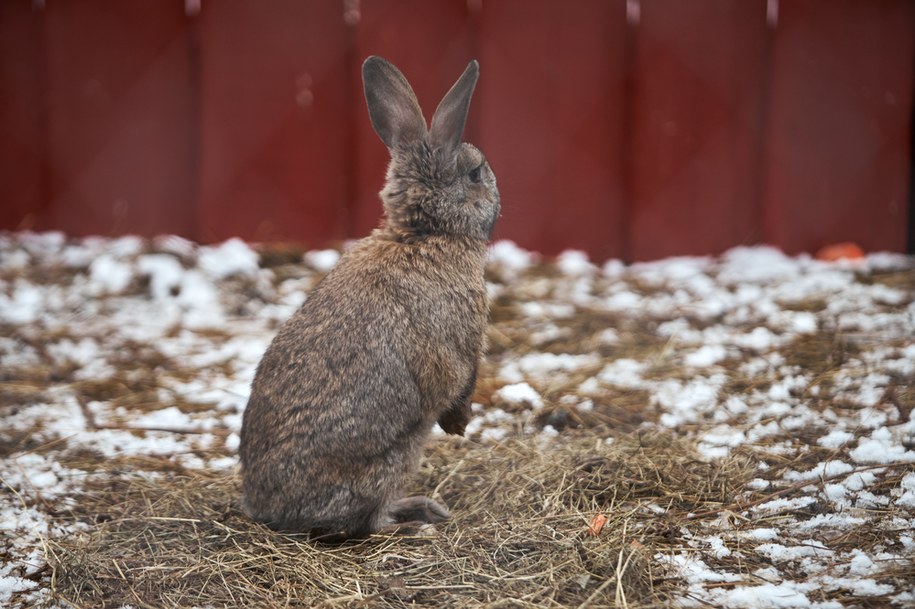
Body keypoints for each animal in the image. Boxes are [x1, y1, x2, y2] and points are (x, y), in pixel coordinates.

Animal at [238, 57, 500, 540]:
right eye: (475, 173)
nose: (495, 190)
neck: (424, 232)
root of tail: (268, 509)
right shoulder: (463, 340)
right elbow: (459, 379)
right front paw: (459, 425)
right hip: (394, 454)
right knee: (363, 524)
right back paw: (415, 523)